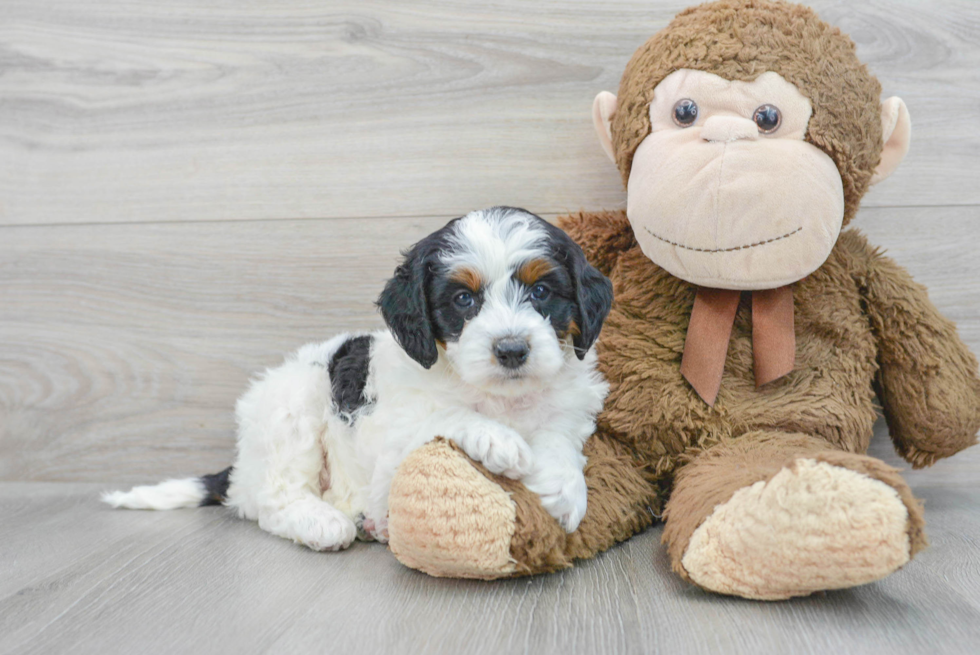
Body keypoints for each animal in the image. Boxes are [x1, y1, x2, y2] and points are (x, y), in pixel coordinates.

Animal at [105, 208, 612, 552]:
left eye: (541, 291)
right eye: (464, 299)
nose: (511, 350)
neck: (501, 397)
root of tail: (240, 465)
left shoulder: (569, 410)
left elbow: (559, 437)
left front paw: (565, 489)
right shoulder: (394, 429)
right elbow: (446, 414)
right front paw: (498, 439)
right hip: (292, 409)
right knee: (269, 499)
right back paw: (322, 522)